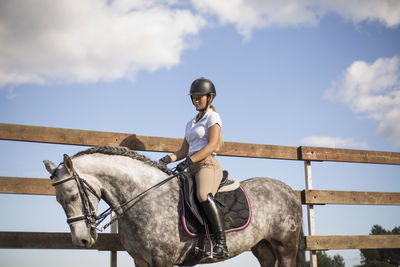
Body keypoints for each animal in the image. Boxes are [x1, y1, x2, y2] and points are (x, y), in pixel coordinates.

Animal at [43, 147, 304, 267]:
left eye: (73, 195)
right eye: (58, 201)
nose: (81, 240)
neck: (144, 198)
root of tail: (290, 191)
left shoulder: (162, 261)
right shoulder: (141, 261)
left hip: (285, 247)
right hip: (263, 248)